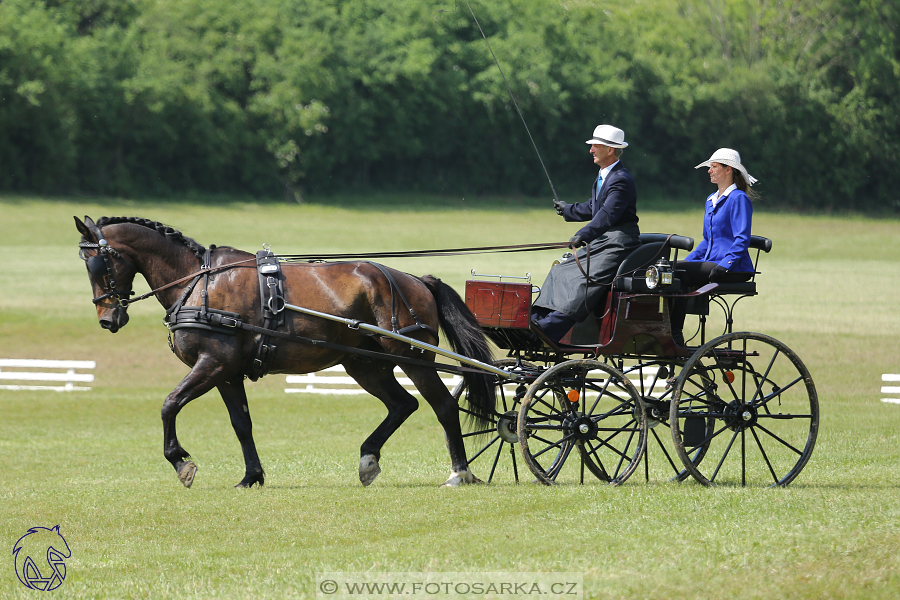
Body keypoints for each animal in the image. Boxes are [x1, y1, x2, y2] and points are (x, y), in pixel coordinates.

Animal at [75, 216, 500, 488]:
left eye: (98, 262)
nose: (107, 318)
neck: (198, 283)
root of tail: (415, 279)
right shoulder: (226, 373)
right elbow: (241, 424)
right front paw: (252, 476)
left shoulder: (212, 364)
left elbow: (169, 403)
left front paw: (181, 461)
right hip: (365, 364)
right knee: (402, 405)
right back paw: (368, 459)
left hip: (411, 356)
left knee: (443, 405)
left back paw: (459, 473)